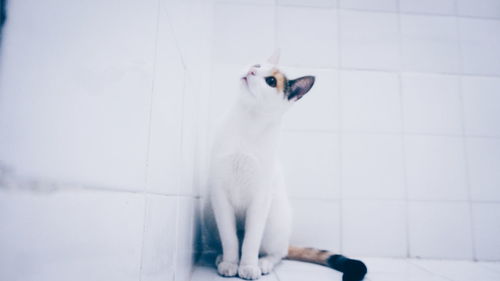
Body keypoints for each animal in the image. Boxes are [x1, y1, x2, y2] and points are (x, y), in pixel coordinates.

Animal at [204, 50, 368, 280]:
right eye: (257, 65)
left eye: (271, 81)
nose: (251, 71)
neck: (247, 122)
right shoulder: (220, 194)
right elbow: (230, 238)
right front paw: (230, 262)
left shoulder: (260, 197)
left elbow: (251, 241)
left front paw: (248, 266)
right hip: (210, 217)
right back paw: (221, 257)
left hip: (274, 220)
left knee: (277, 253)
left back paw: (263, 263)